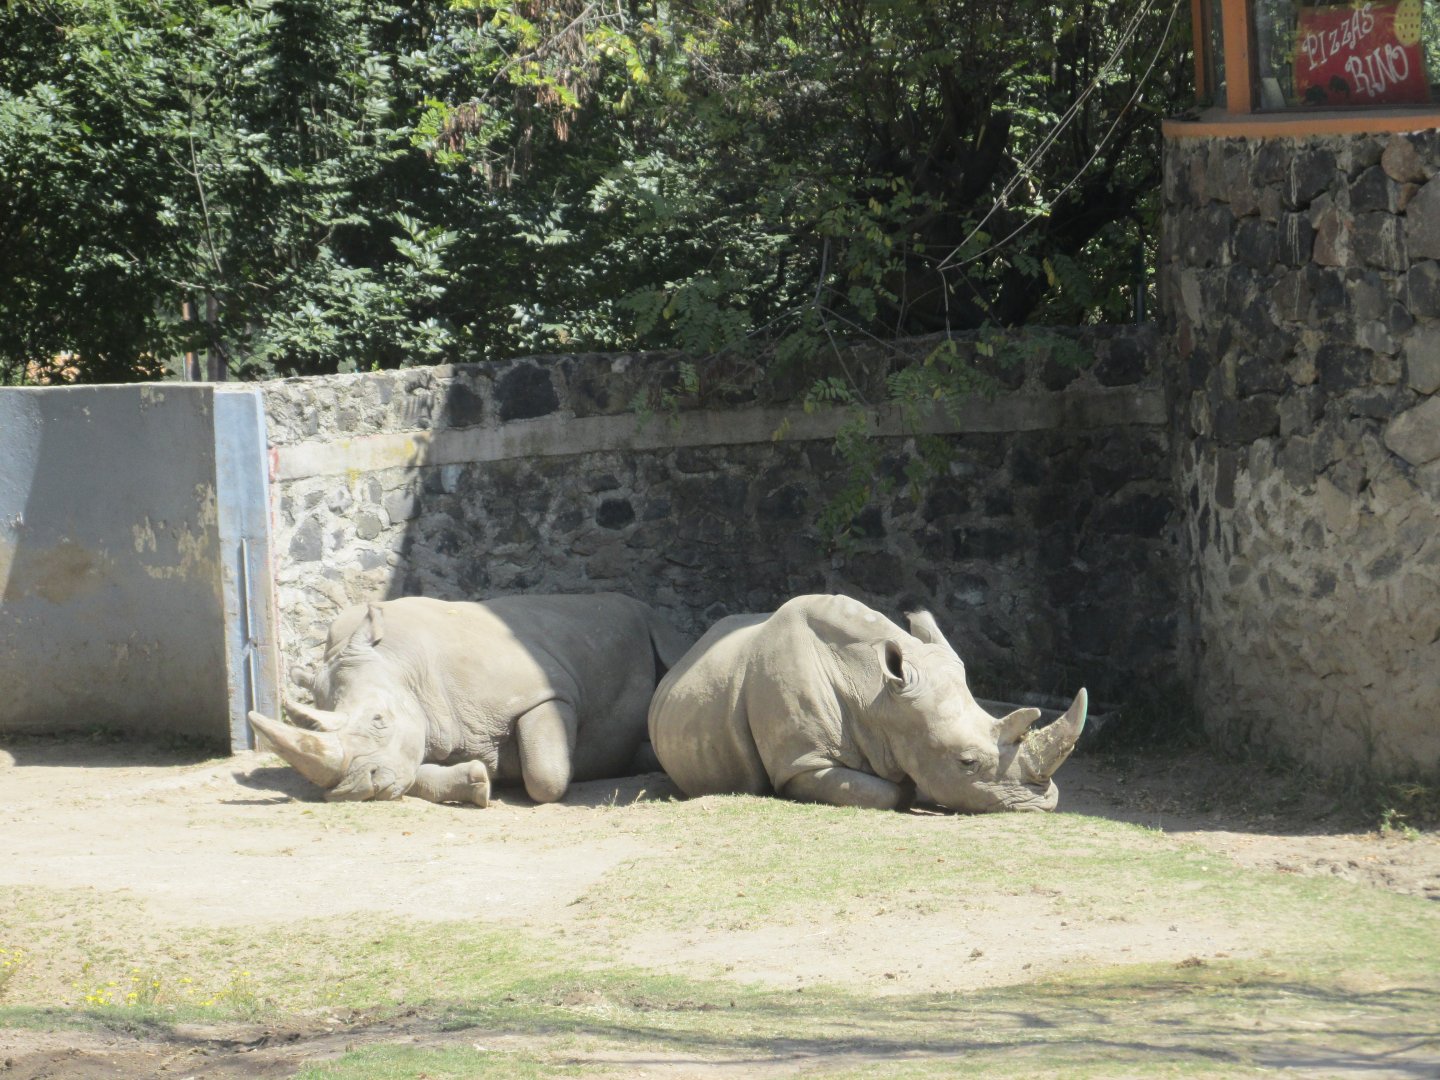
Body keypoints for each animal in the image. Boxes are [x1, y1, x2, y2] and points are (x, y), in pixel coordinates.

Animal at [248, 593, 691, 806]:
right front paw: (477, 782)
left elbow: (545, 775)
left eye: (378, 720)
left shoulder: (544, 694)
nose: (354, 787)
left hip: (647, 617)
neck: (402, 664)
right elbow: (411, 771)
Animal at [648, 594, 1087, 813]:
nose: (1044, 803)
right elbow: (885, 793)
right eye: (967, 763)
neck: (876, 695)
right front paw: (905, 792)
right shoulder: (803, 763)